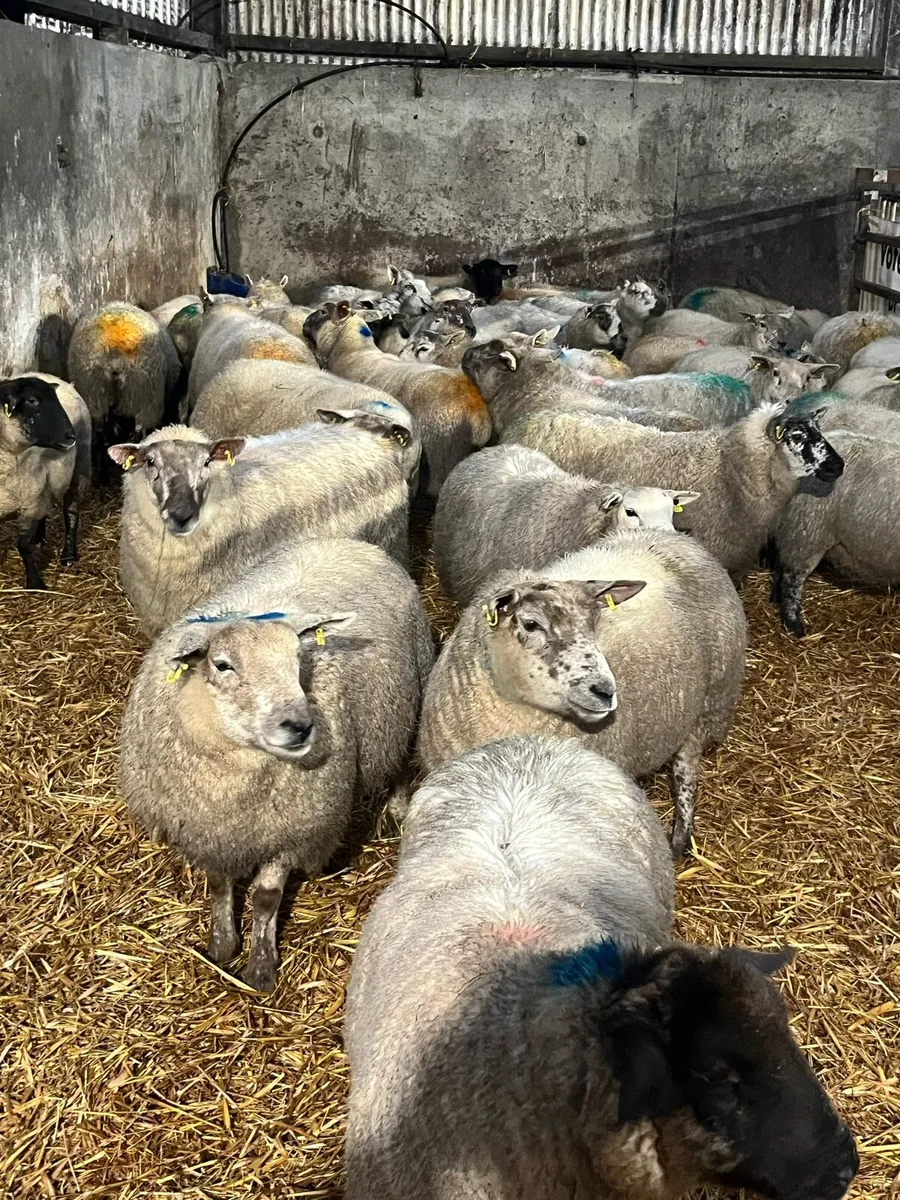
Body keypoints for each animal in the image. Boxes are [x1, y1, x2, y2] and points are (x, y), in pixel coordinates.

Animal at [0, 374, 91, 589]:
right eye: (32, 400)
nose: (70, 435)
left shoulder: (30, 505)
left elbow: (24, 546)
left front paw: (35, 583)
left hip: (79, 468)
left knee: (71, 513)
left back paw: (68, 555)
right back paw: (40, 538)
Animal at [67, 302, 181, 475]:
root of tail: (115, 353)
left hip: (94, 395)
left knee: (99, 437)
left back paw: (103, 471)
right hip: (144, 399)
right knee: (139, 436)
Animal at [121, 536, 432, 991]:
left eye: (298, 659)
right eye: (222, 664)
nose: (300, 726)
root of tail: (349, 541)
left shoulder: (293, 832)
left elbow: (266, 899)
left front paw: (261, 967)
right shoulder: (210, 831)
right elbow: (219, 885)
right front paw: (222, 945)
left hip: (411, 694)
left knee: (402, 762)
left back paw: (396, 809)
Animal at [418, 526, 747, 854]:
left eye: (592, 624)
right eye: (531, 624)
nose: (606, 691)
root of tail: (677, 538)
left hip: (711, 701)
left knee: (686, 766)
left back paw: (681, 835)